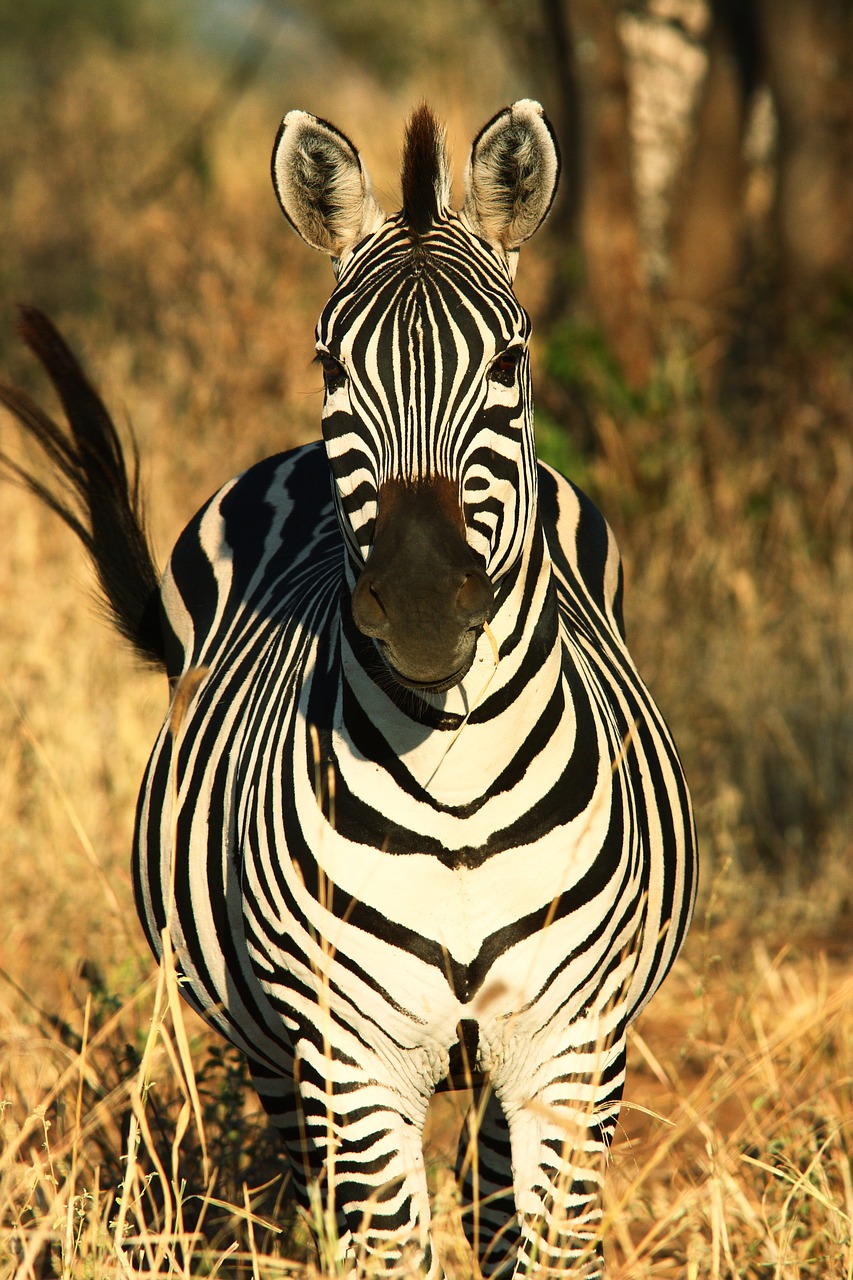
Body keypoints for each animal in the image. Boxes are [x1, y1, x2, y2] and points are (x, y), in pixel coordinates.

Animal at [0, 102, 696, 1280]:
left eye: (510, 357)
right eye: (329, 361)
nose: (417, 604)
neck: (458, 786)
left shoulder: (568, 1051)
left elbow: (545, 1247)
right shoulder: (348, 1064)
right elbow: (382, 1248)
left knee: (491, 1207)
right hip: (273, 1055)